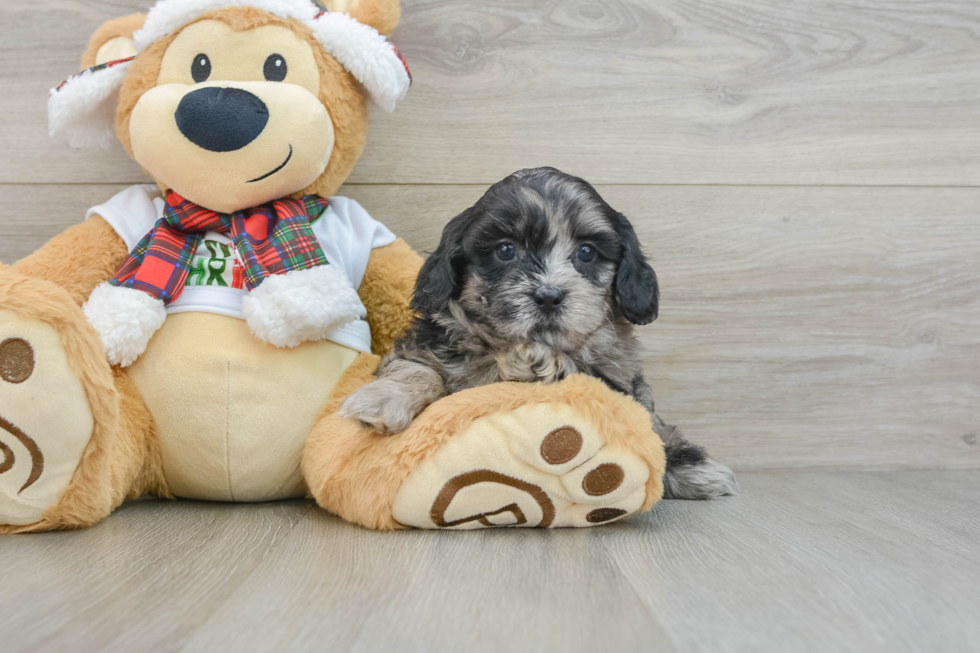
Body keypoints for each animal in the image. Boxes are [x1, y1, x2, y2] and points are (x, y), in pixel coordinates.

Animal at [342, 166, 736, 496]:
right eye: (505, 250)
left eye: (587, 252)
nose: (548, 296)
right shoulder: (424, 347)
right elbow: (417, 370)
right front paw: (382, 400)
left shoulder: (615, 379)